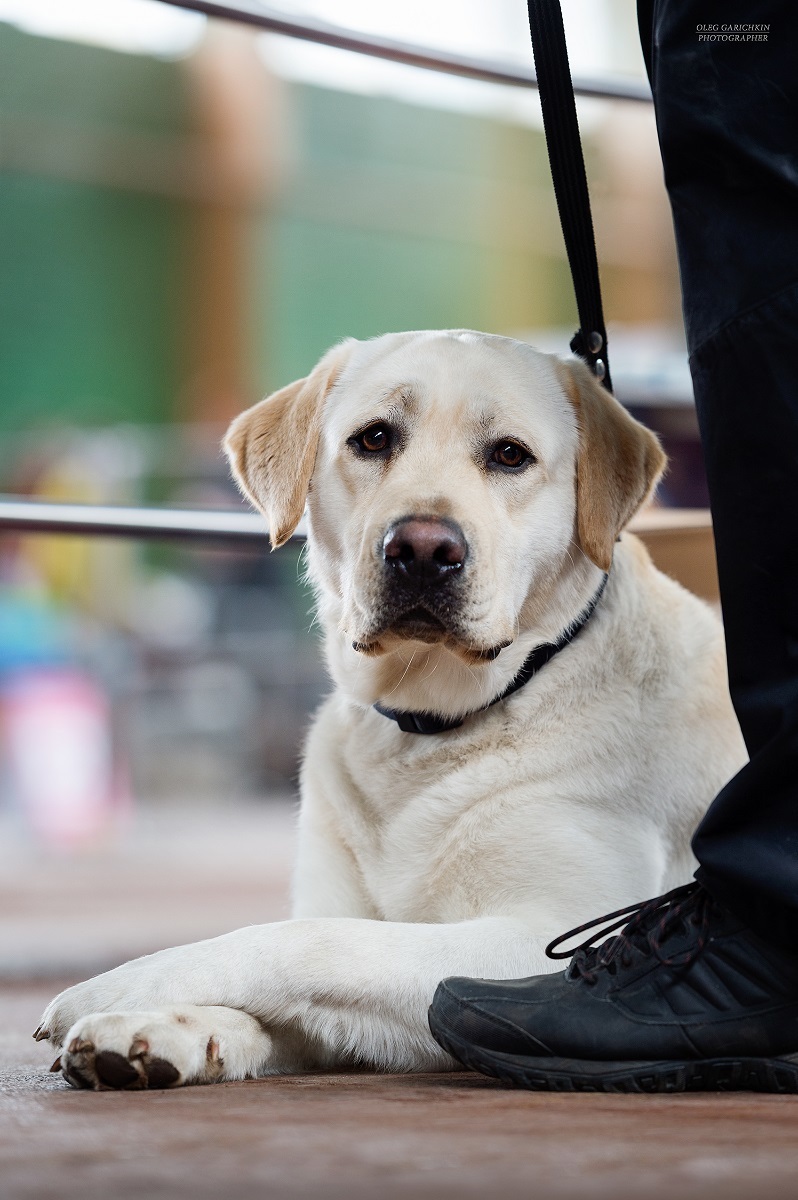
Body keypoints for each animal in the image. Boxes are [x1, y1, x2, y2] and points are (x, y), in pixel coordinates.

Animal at [39, 328, 748, 1089]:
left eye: (510, 454)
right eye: (374, 438)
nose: (423, 549)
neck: (429, 728)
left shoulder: (554, 935)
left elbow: (312, 943)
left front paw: (118, 986)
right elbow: (285, 985)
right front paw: (155, 1028)